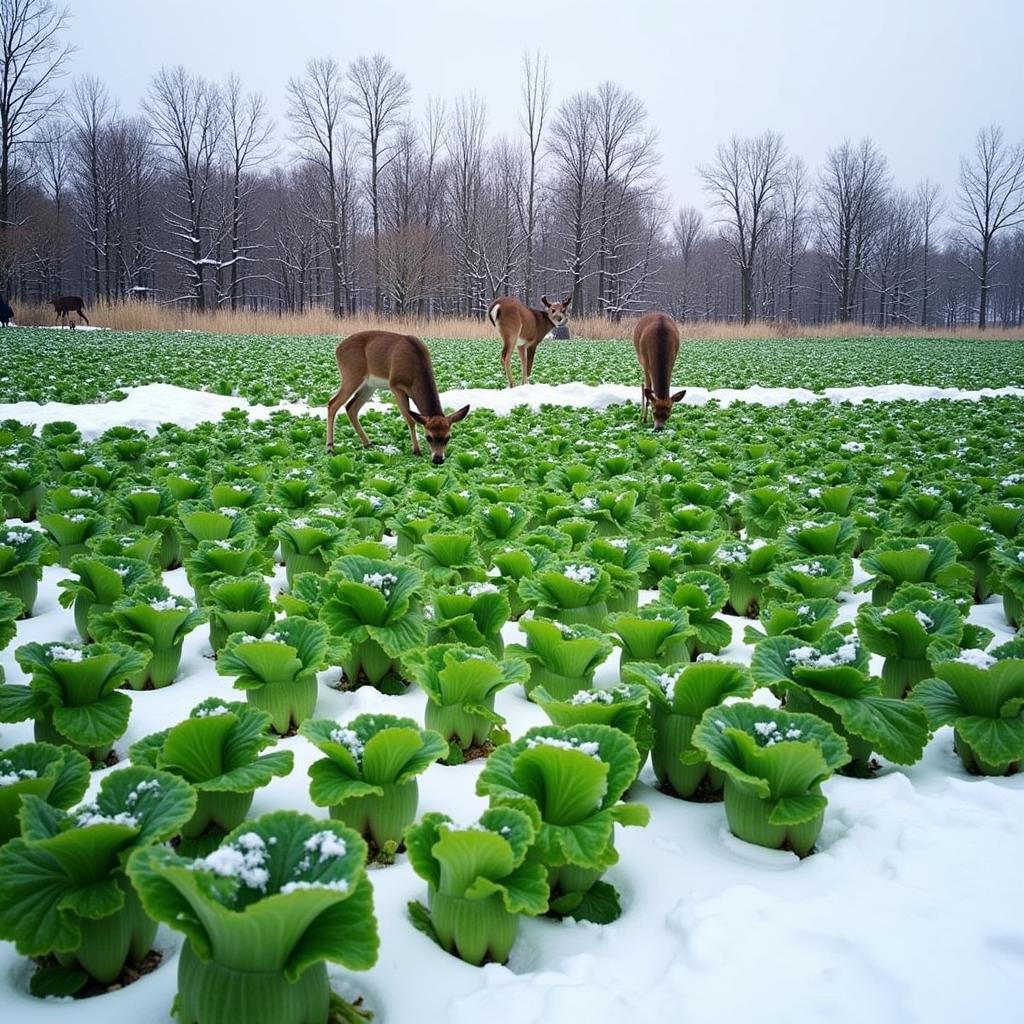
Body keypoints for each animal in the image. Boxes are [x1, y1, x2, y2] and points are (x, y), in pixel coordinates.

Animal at [325, 331, 468, 464]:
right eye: (429, 437)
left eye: (448, 437)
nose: (438, 459)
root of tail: (338, 349)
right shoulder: (395, 386)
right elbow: (410, 419)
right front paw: (416, 450)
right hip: (352, 375)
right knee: (333, 403)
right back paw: (330, 447)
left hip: (369, 386)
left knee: (351, 408)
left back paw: (368, 444)